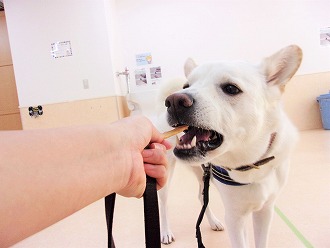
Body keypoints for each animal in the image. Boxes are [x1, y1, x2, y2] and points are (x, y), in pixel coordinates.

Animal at [156, 45, 302, 248]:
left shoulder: (265, 211)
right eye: (186, 86)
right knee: (163, 202)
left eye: (231, 88)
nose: (175, 101)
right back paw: (166, 232)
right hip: (166, 171)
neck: (251, 166)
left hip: (202, 174)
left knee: (202, 197)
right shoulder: (235, 217)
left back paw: (213, 222)